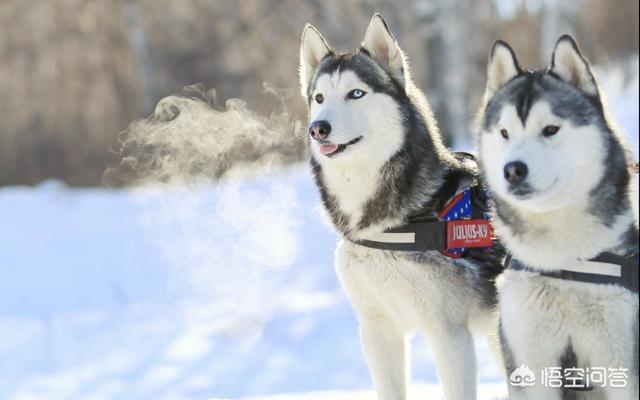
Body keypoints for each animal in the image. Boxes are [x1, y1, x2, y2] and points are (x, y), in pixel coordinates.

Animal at [480, 36, 640, 398]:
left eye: (550, 129)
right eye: (505, 133)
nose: (512, 170)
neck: (564, 263)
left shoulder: (622, 367)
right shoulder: (533, 368)